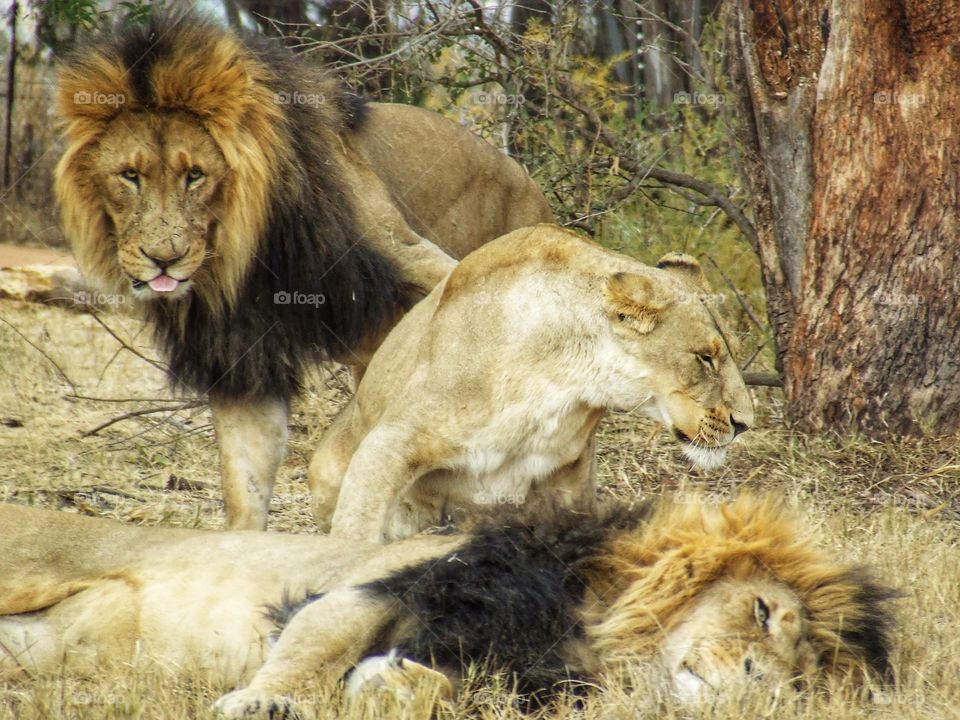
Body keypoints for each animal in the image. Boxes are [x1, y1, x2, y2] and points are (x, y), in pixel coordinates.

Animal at [54, 13, 553, 530]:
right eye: (130, 176)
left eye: (194, 176)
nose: (163, 259)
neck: (248, 258)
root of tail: (530, 184)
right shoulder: (241, 360)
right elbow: (245, 482)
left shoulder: (421, 269)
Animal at [310, 224, 755, 542]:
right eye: (705, 358)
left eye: (731, 351)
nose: (745, 424)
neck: (562, 378)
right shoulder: (392, 441)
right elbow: (355, 530)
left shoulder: (570, 479)